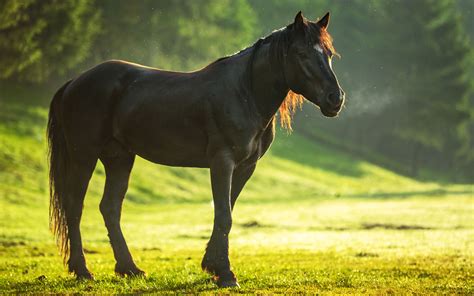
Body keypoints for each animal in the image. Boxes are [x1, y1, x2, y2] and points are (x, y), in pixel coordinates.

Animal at [47, 11, 344, 286]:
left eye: (329, 54)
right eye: (301, 53)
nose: (336, 98)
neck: (244, 93)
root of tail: (74, 82)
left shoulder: (245, 167)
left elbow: (226, 212)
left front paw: (212, 265)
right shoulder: (222, 162)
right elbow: (224, 215)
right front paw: (225, 273)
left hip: (119, 158)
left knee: (110, 208)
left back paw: (129, 268)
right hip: (84, 156)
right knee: (75, 206)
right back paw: (83, 270)